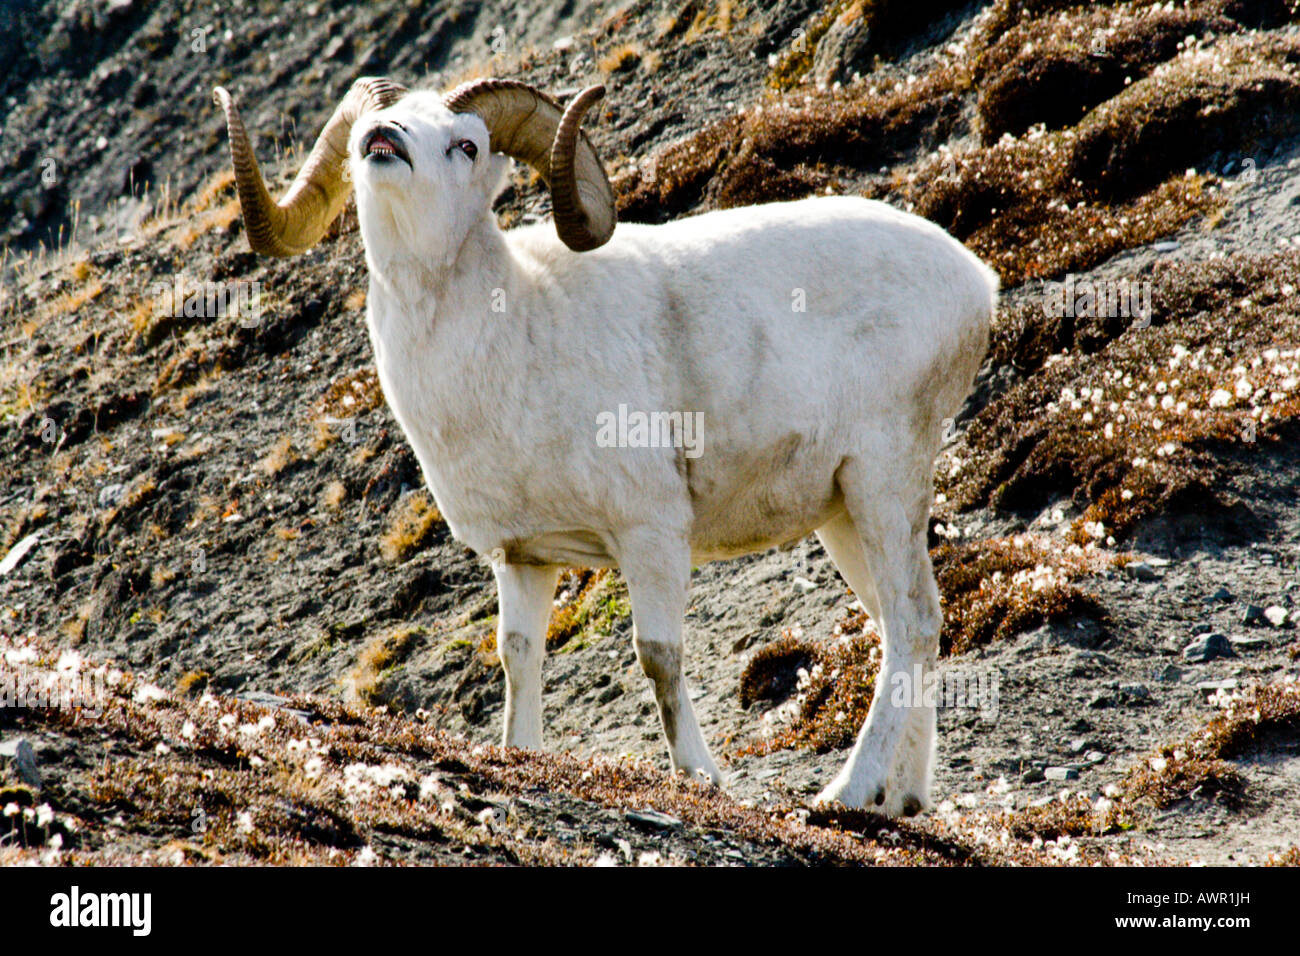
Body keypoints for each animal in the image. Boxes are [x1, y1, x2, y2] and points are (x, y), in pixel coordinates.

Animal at [213, 76, 993, 816]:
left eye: (465, 145)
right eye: (365, 133)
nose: (386, 139)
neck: (513, 336)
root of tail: (976, 282)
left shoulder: (650, 534)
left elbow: (658, 658)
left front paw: (702, 779)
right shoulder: (524, 559)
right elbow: (518, 660)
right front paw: (521, 755)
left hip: (883, 481)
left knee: (912, 623)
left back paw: (846, 794)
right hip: (842, 515)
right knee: (906, 624)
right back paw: (903, 800)